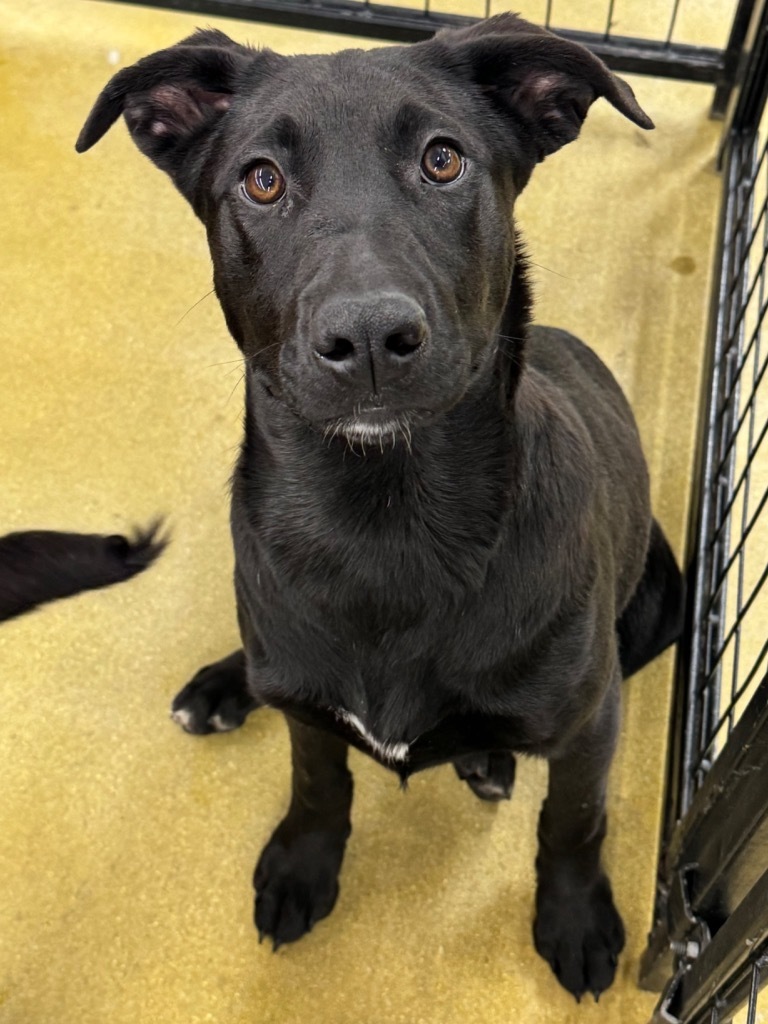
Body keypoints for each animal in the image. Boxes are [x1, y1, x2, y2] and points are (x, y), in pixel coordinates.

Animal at [78, 16, 684, 1003]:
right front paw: (302, 865)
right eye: (261, 179)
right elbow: (317, 775)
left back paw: (484, 757)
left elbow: (573, 821)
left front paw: (575, 919)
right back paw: (223, 686)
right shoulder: (305, 698)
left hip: (658, 606)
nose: (367, 337)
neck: (382, 518)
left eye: (444, 160)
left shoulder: (592, 720)